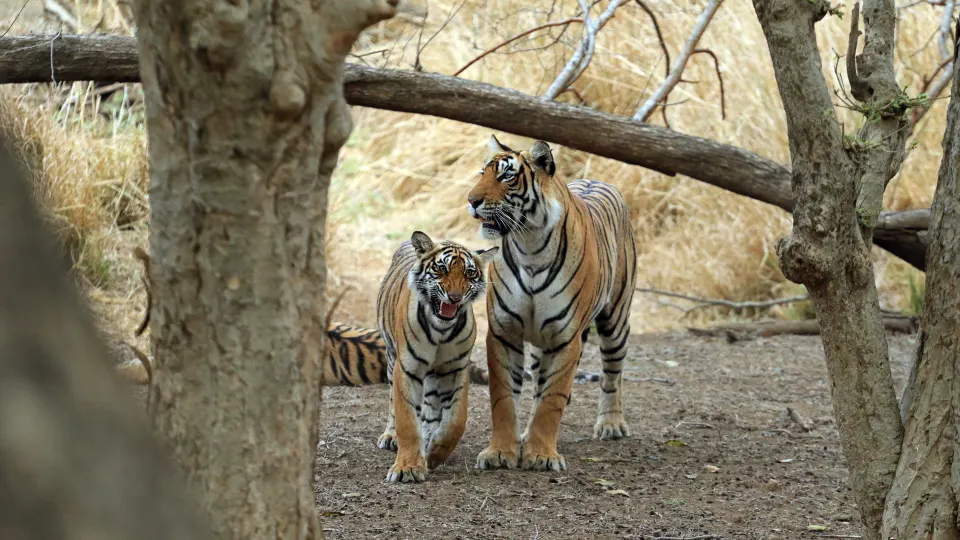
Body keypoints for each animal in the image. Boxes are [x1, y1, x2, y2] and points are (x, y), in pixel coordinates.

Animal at [375, 230, 498, 483]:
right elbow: (406, 420)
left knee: (431, 409)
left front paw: (434, 453)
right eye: (441, 269)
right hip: (391, 357)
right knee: (393, 402)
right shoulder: (407, 368)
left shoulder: (456, 368)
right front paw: (407, 468)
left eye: (469, 273)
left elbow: (456, 420)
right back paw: (390, 436)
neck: (441, 329)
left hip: (434, 373)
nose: (455, 297)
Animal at [466, 135, 638, 472]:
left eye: (506, 176)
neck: (529, 244)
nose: (471, 200)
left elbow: (552, 400)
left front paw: (542, 456)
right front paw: (500, 452)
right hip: (538, 346)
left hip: (615, 321)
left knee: (613, 374)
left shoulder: (565, 338)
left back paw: (611, 424)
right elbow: (504, 398)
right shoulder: (504, 332)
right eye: (482, 173)